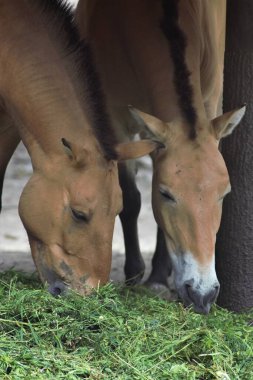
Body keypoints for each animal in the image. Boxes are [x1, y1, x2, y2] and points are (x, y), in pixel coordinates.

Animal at [76, 0, 246, 314]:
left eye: (224, 195)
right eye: (166, 194)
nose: (203, 295)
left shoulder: (209, 101)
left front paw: (157, 277)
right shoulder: (115, 121)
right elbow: (131, 199)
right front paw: (135, 274)